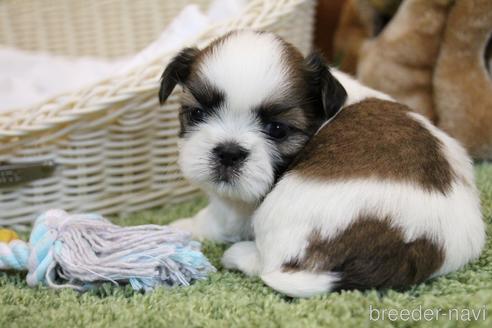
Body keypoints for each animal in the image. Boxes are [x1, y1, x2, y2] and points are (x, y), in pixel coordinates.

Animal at [159, 30, 484, 298]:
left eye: (277, 129)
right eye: (197, 113)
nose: (228, 152)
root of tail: (415, 246)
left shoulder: (241, 204)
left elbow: (216, 218)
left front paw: (183, 227)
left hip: (276, 210)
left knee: (268, 264)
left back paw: (239, 256)